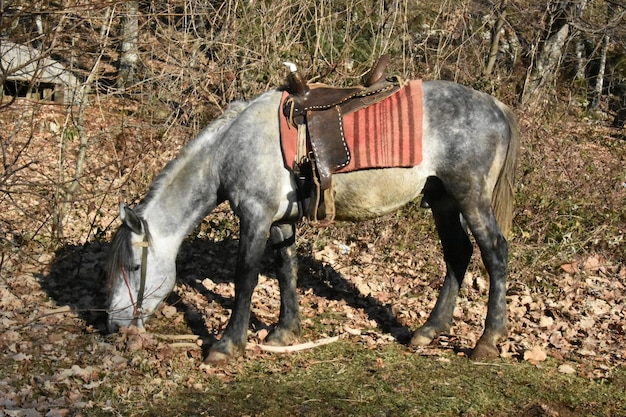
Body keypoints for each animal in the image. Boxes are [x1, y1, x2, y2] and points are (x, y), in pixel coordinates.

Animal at [106, 80, 516, 360]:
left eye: (133, 265)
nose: (113, 325)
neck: (232, 147)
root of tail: (496, 106)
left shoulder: (254, 215)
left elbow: (246, 276)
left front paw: (228, 343)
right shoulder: (279, 222)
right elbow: (286, 270)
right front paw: (285, 331)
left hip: (470, 197)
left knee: (494, 254)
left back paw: (487, 340)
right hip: (442, 199)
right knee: (458, 254)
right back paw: (429, 330)